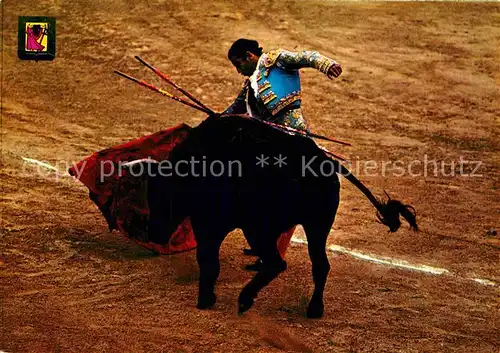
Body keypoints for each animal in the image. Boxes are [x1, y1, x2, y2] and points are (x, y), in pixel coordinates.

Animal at [143, 114, 416, 318]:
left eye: (158, 198)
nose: (153, 234)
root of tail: (319, 161)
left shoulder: (208, 222)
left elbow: (207, 260)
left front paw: (205, 299)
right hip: (316, 225)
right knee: (319, 265)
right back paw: (314, 308)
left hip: (258, 227)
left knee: (277, 263)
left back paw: (245, 299)